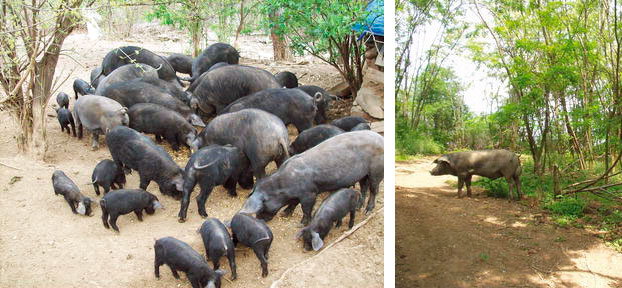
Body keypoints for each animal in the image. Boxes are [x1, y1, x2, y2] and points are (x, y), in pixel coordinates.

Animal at [240, 130, 382, 225]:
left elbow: (305, 208)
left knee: (374, 189)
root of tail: (381, 138)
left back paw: (368, 211)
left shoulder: (310, 193)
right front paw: (285, 213)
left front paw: (302, 224)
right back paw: (359, 207)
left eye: (262, 206)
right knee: (364, 186)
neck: (284, 186)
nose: (260, 219)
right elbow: (293, 202)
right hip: (363, 173)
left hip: (377, 170)